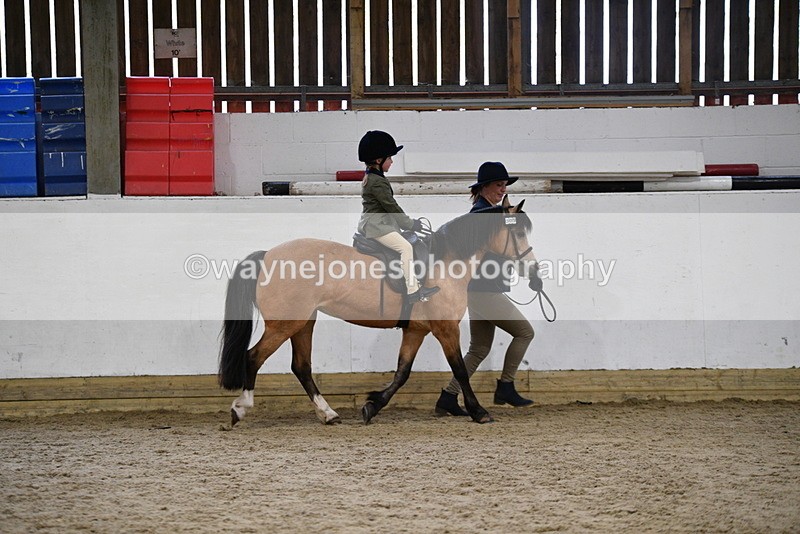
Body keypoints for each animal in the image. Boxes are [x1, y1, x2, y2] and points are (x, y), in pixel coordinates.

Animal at [218, 195, 538, 426]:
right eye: (518, 232)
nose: (533, 268)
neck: (446, 262)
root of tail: (268, 255)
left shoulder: (416, 330)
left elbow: (402, 372)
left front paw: (372, 406)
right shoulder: (446, 328)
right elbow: (459, 369)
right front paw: (478, 411)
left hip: (304, 322)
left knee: (302, 367)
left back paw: (328, 414)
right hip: (285, 324)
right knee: (253, 357)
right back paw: (240, 409)